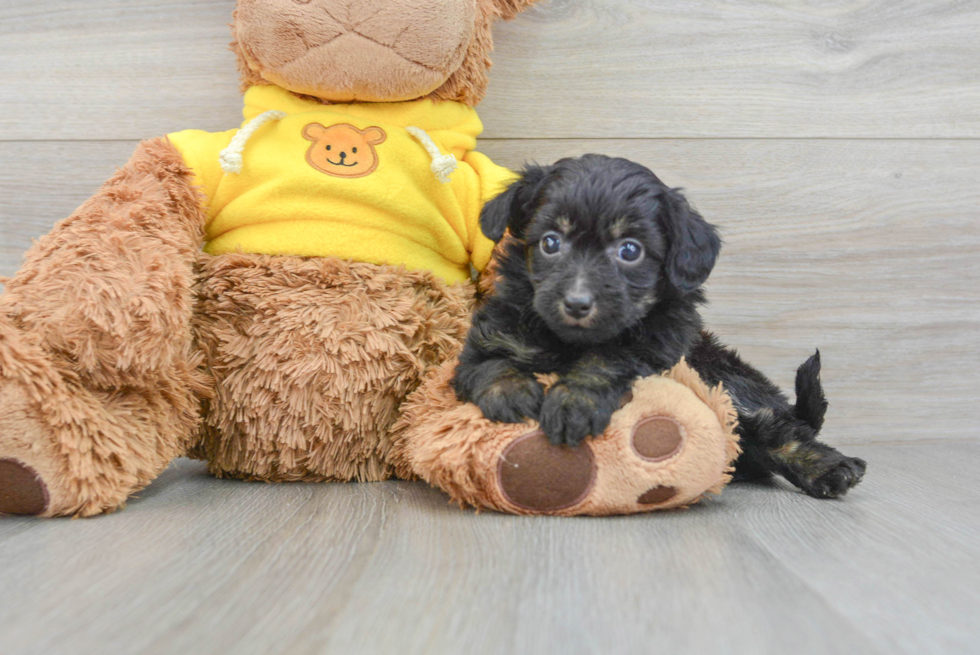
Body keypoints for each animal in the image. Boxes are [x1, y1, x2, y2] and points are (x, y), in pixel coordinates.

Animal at [452, 154, 864, 500]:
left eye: (630, 250)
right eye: (550, 243)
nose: (577, 303)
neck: (569, 342)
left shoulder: (657, 346)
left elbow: (608, 359)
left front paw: (574, 402)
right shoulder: (490, 335)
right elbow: (487, 363)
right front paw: (511, 393)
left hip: (725, 379)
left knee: (778, 431)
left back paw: (832, 469)